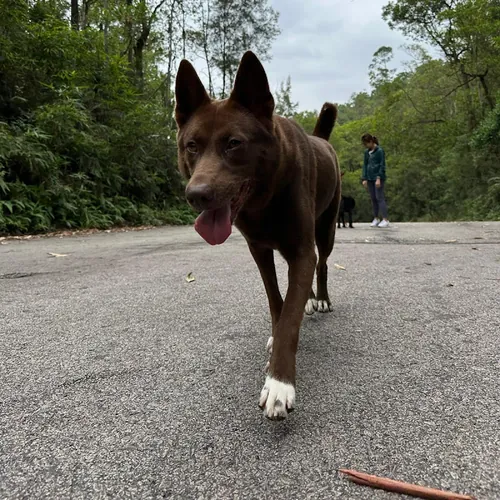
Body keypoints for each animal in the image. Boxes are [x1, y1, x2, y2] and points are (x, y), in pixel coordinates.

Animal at [174, 51, 341, 420]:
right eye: (191, 146)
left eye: (234, 143)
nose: (196, 194)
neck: (266, 198)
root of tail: (322, 140)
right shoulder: (259, 251)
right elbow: (278, 302)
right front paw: (277, 333)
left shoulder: (301, 249)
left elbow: (290, 312)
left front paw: (279, 383)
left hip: (326, 228)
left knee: (321, 262)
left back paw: (320, 298)